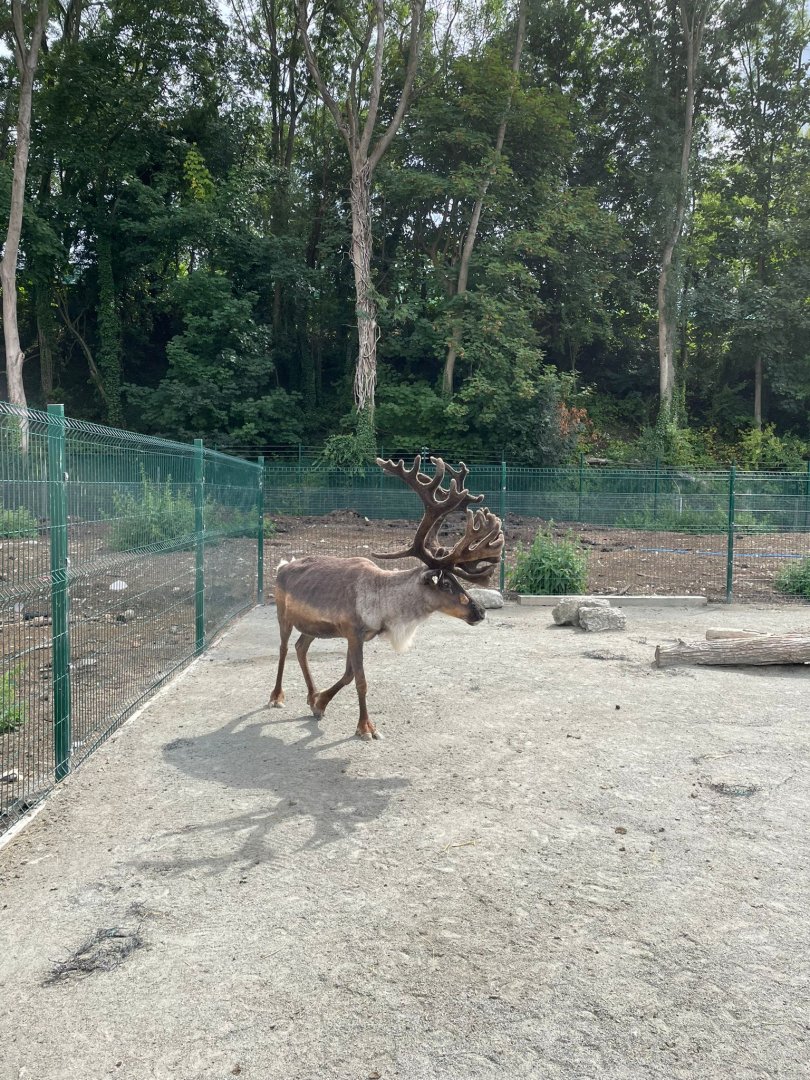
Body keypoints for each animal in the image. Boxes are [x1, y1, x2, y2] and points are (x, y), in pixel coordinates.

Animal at [269, 456, 504, 740]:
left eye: (457, 580)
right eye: (446, 583)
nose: (480, 611)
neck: (383, 604)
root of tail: (282, 566)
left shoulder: (359, 636)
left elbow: (348, 675)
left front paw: (320, 702)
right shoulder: (353, 633)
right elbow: (360, 680)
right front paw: (365, 727)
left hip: (312, 626)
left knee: (300, 647)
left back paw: (311, 695)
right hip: (282, 614)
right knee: (283, 648)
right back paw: (276, 697)